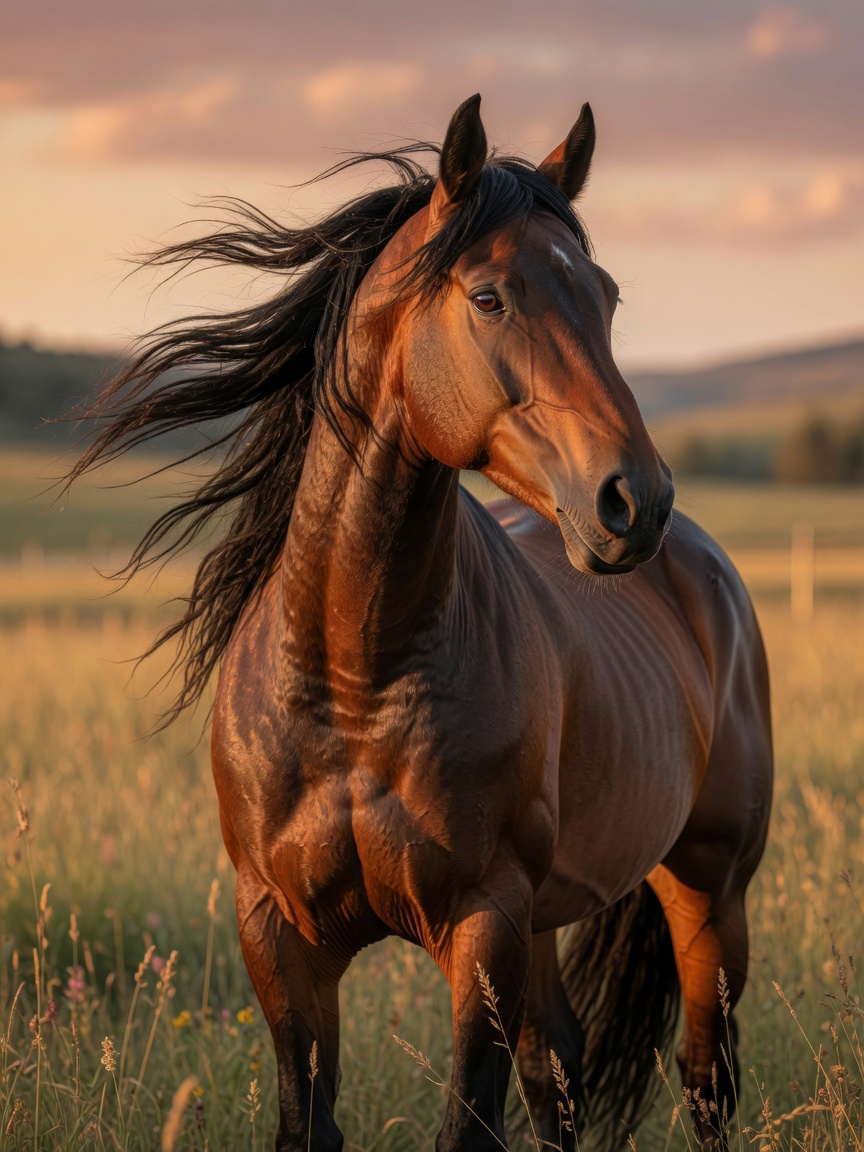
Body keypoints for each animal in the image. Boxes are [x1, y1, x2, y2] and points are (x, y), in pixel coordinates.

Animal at [71, 95, 773, 1151]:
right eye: (489, 299)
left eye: (605, 297)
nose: (633, 503)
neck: (353, 675)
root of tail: (704, 568)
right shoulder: (280, 938)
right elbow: (310, 1122)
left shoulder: (483, 927)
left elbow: (468, 1121)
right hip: (555, 918)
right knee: (560, 1070)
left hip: (707, 891)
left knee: (703, 1082)